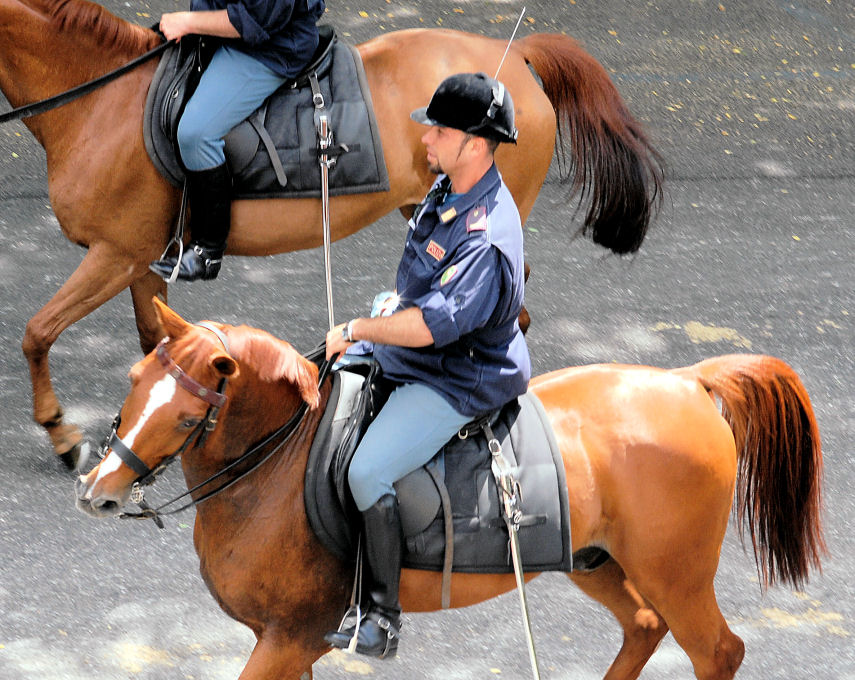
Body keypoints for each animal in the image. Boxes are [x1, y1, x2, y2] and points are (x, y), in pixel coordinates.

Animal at [0, 0, 664, 464]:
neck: (101, 102)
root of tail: (517, 54)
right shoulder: (141, 260)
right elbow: (155, 338)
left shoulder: (114, 255)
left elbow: (37, 333)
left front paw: (62, 433)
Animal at [77, 302, 824, 680]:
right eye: (134, 381)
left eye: (185, 417)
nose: (97, 491)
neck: (277, 469)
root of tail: (687, 381)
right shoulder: (285, 641)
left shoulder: (291, 638)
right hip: (597, 561)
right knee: (643, 625)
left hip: (676, 572)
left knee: (717, 651)